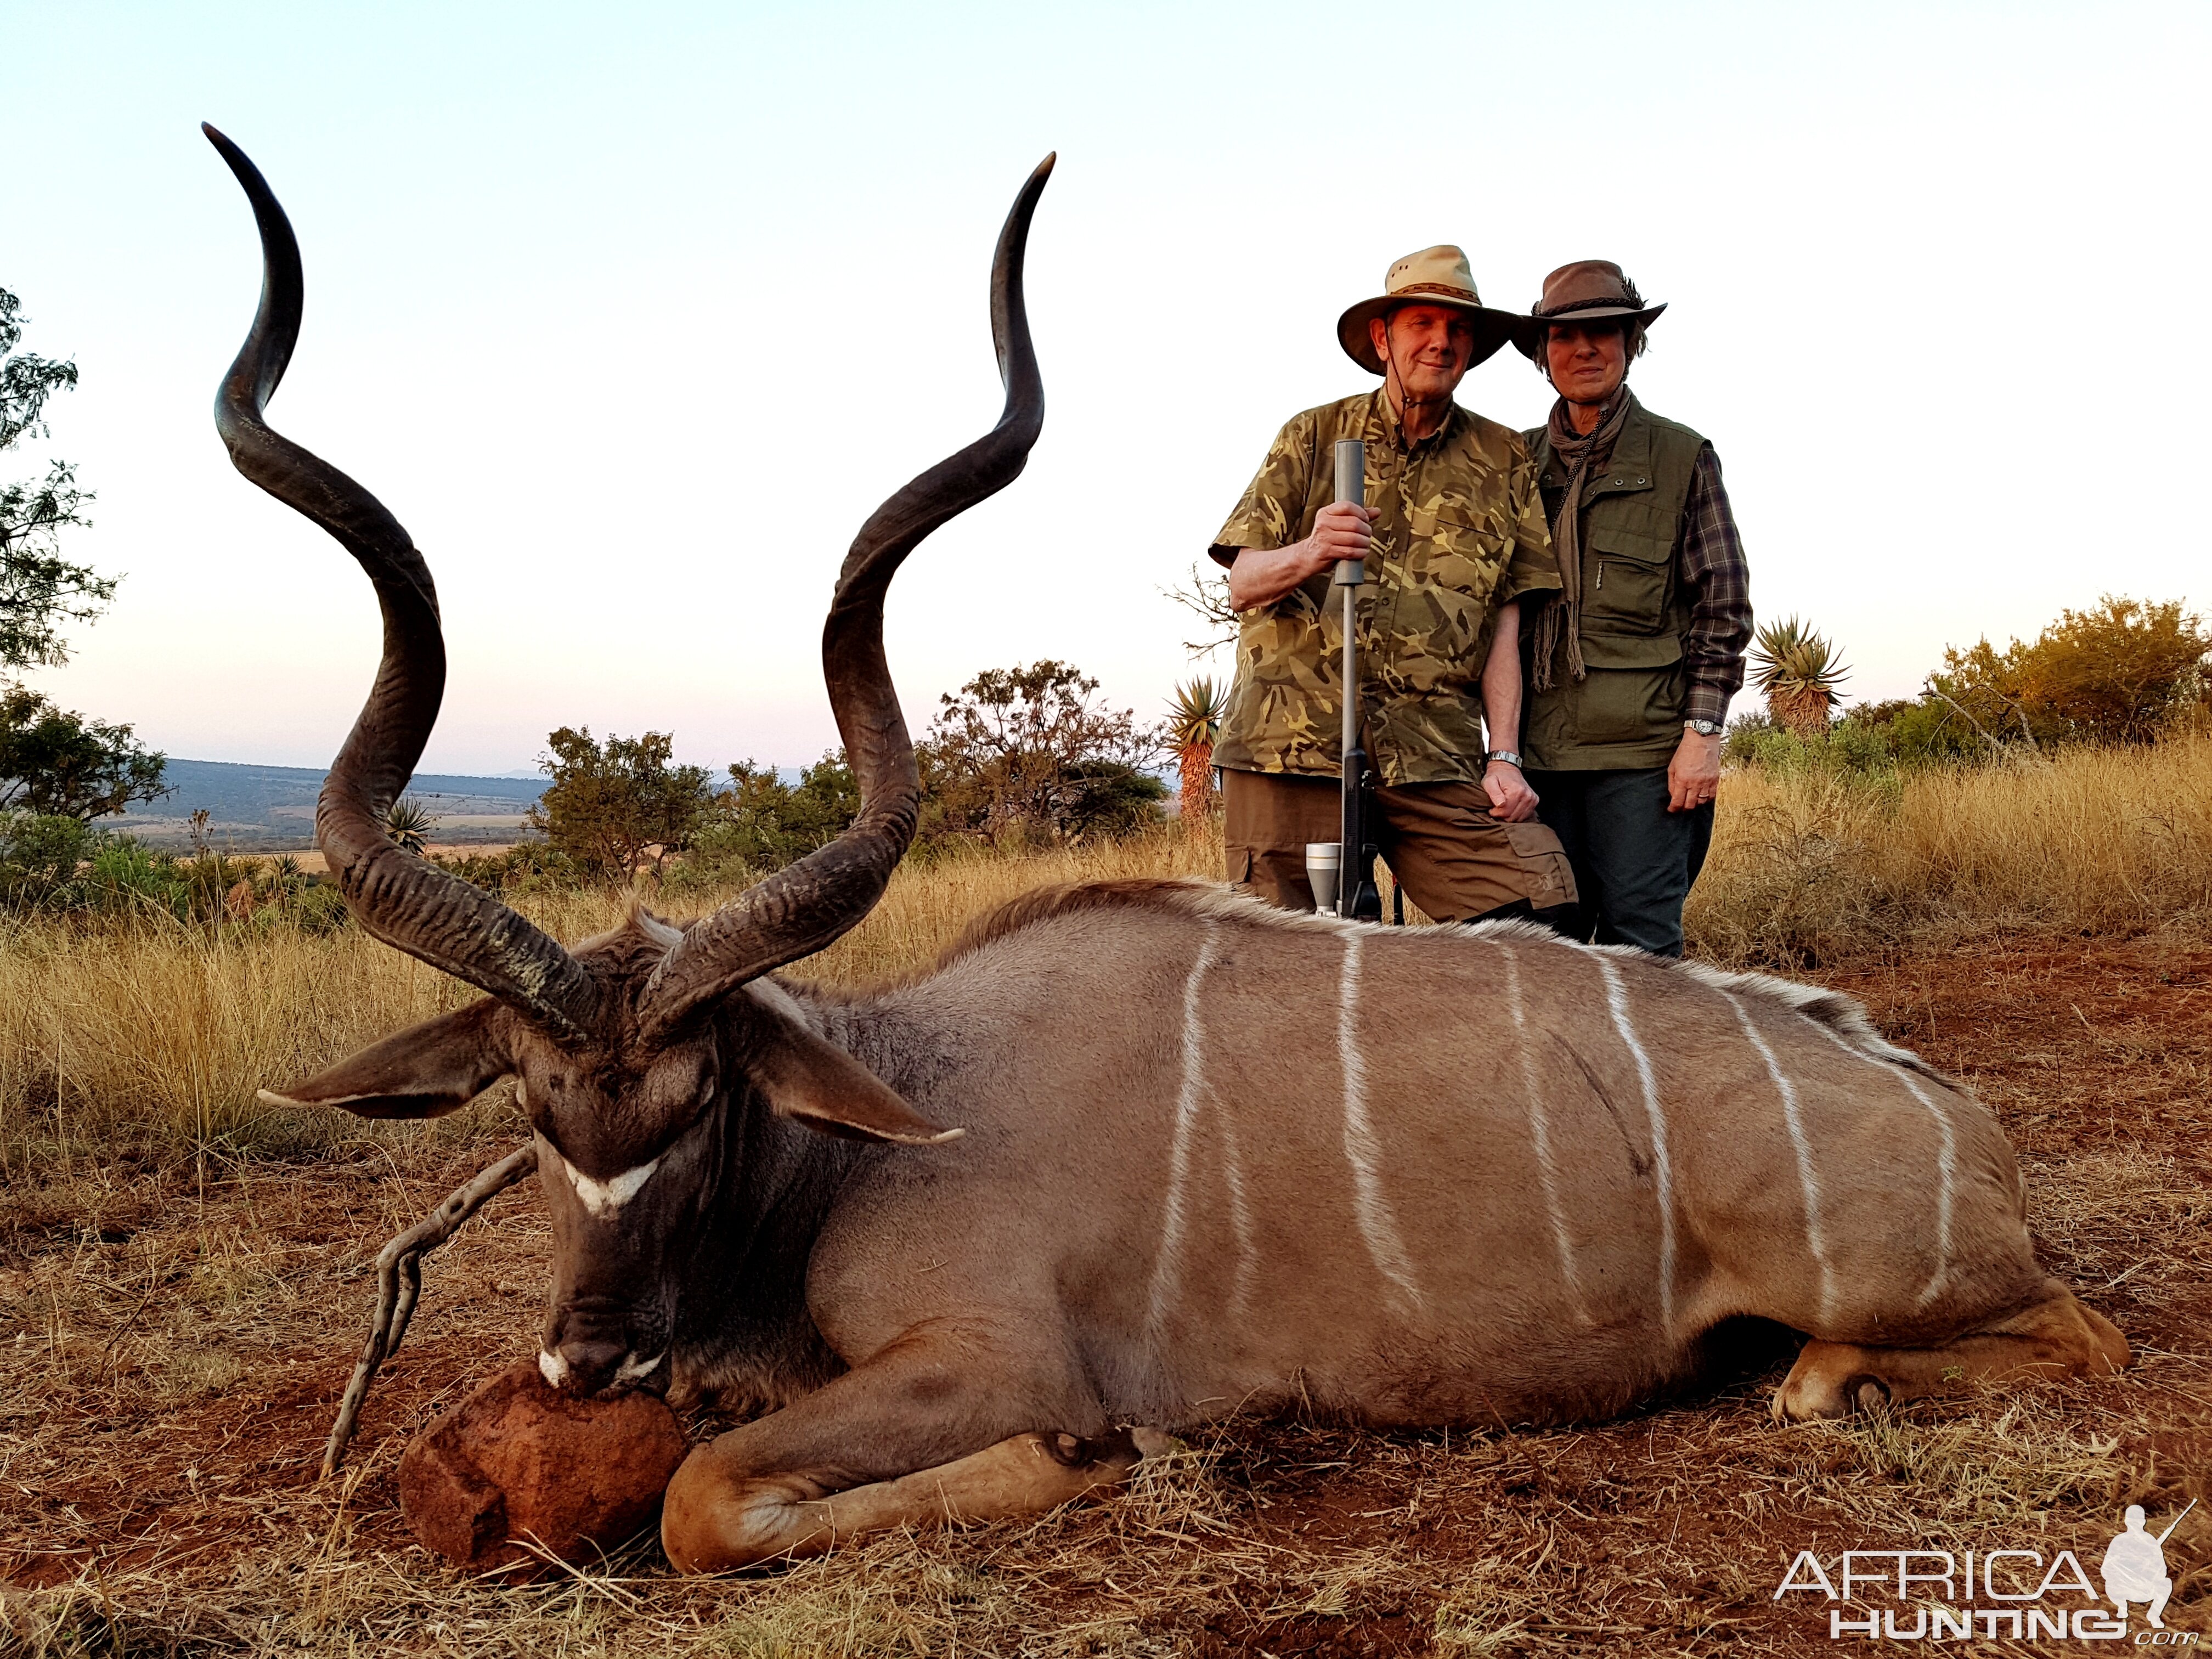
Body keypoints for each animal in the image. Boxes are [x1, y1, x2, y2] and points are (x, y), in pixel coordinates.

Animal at [208, 126, 2123, 1575]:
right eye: (536, 1113)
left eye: (699, 1102)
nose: (593, 1355)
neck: (880, 1120)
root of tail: (1954, 1120)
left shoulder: (986, 1350)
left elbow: (706, 1499)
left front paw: (1092, 1463)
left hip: (1889, 1281)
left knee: (2056, 1339)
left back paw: (1819, 1375)